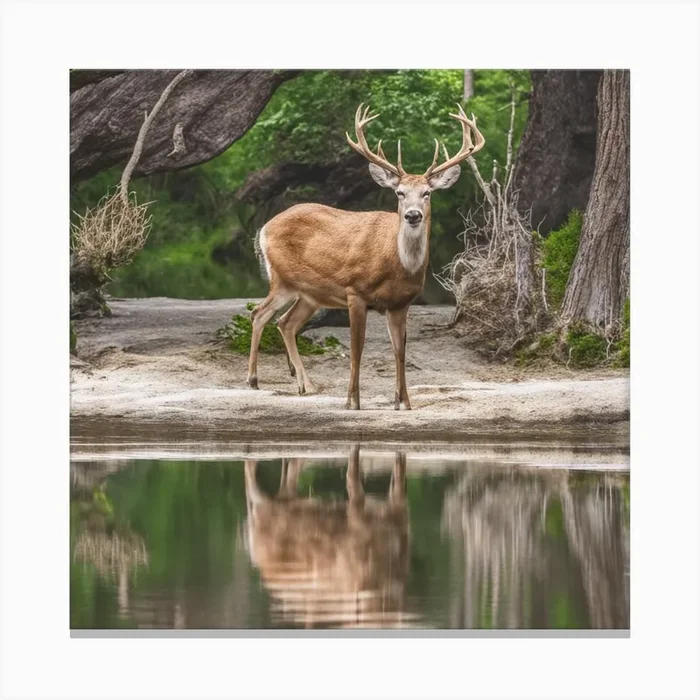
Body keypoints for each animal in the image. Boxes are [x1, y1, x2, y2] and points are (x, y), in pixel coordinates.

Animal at [247, 103, 485, 410]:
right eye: (399, 192)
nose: (413, 215)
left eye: (427, 193)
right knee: (259, 313)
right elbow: (357, 349)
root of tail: (264, 228)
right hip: (283, 278)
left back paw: (305, 385)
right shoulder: (355, 292)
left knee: (285, 322)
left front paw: (403, 402)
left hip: (309, 293)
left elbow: (400, 352)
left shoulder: (401, 304)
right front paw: (353, 401)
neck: (395, 264)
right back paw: (253, 379)